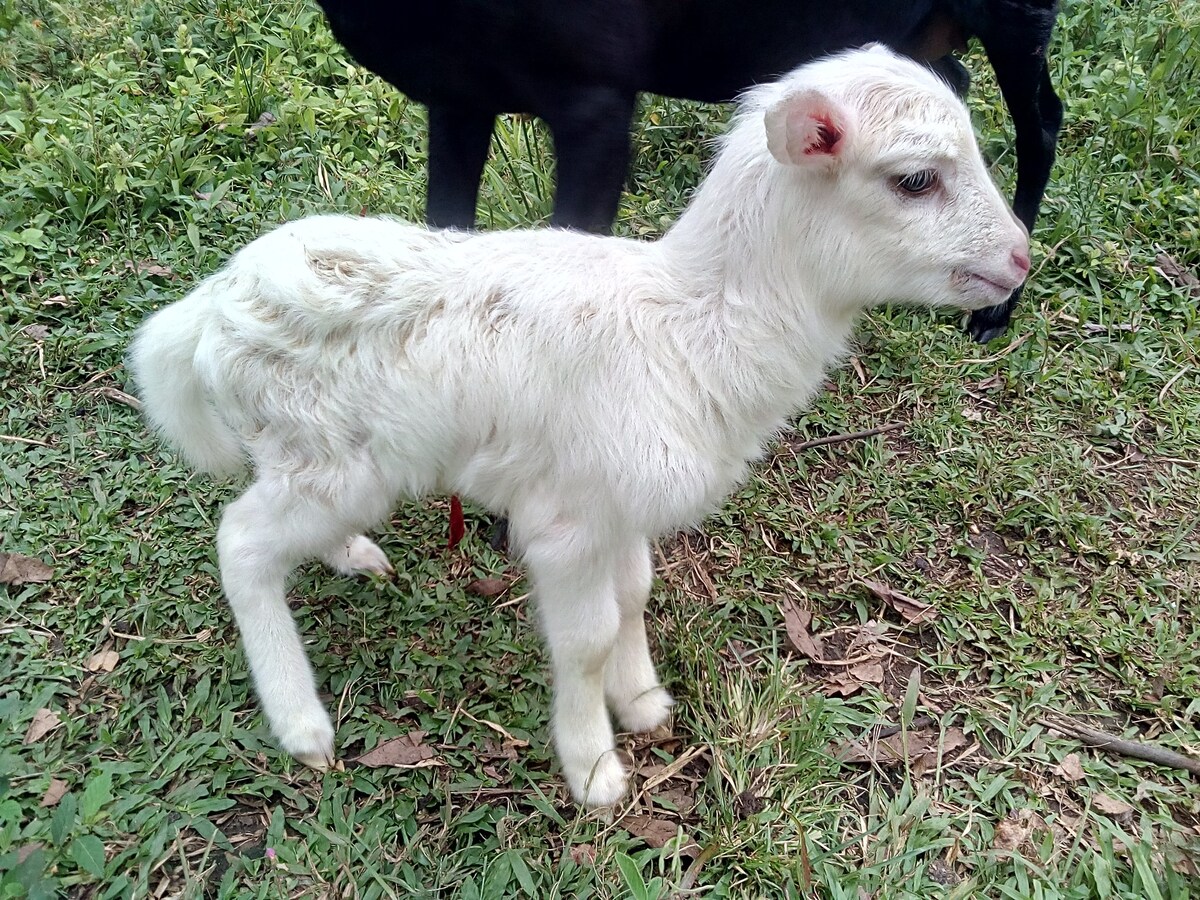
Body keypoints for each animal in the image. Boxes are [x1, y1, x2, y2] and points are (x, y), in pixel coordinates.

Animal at [129, 45, 1032, 806]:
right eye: (914, 180)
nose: (1022, 258)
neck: (692, 328)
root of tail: (208, 308)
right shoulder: (567, 521)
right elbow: (587, 639)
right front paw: (594, 767)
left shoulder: (620, 502)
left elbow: (635, 595)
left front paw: (643, 703)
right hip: (329, 455)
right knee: (242, 542)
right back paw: (304, 727)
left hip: (315, 458)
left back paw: (353, 556)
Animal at [312, 0, 1060, 340]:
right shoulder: (458, 95)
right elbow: (444, 227)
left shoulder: (595, 98)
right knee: (951, 76)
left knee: (1043, 121)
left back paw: (997, 305)